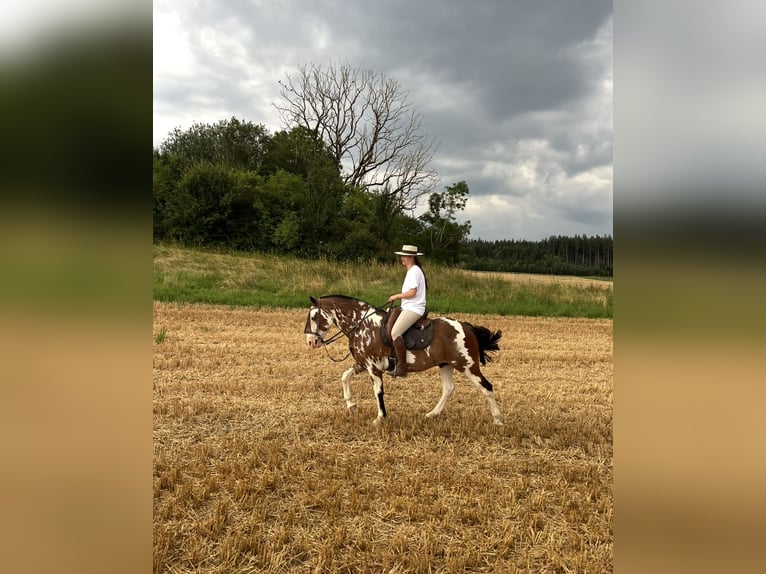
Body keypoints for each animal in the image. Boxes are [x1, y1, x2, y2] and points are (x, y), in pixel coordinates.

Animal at [304, 295, 504, 425]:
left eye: (314, 316)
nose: (310, 341)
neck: (362, 324)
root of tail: (466, 327)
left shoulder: (373, 367)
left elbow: (378, 392)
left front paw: (380, 417)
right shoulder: (362, 364)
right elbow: (345, 377)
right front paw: (351, 405)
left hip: (467, 365)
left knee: (487, 387)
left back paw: (497, 419)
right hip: (446, 365)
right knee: (448, 388)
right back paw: (432, 414)